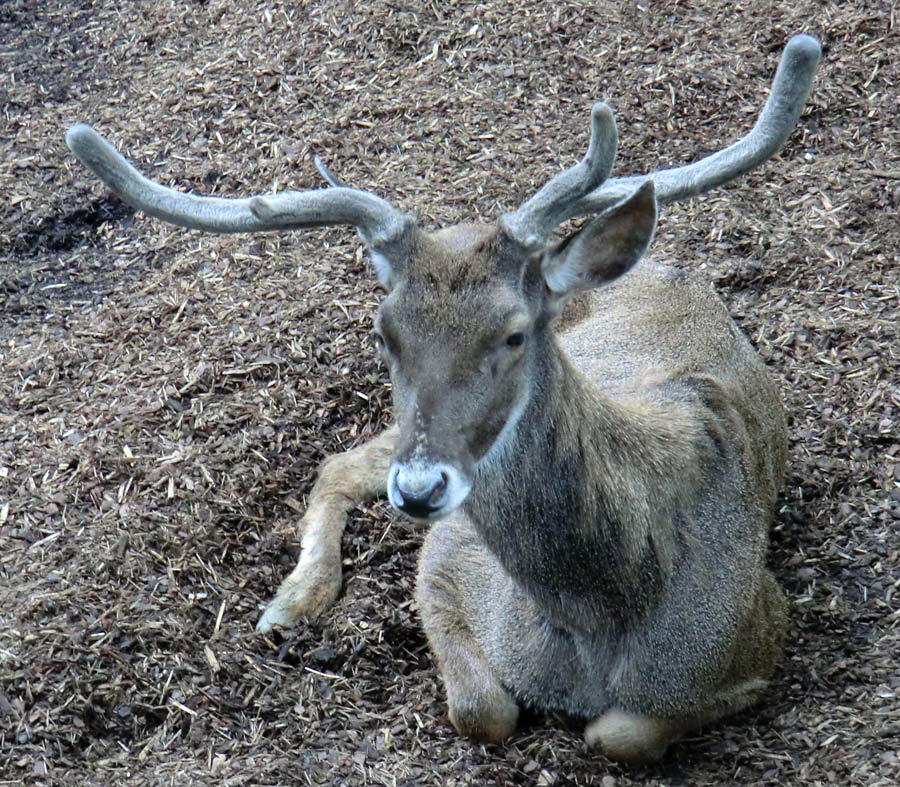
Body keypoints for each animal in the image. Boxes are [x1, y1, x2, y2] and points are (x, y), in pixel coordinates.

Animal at [66, 34, 821, 763]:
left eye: (515, 331)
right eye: (383, 331)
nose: (422, 487)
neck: (600, 611)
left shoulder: (762, 624)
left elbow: (619, 733)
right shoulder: (444, 558)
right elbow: (484, 710)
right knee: (337, 463)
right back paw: (294, 599)